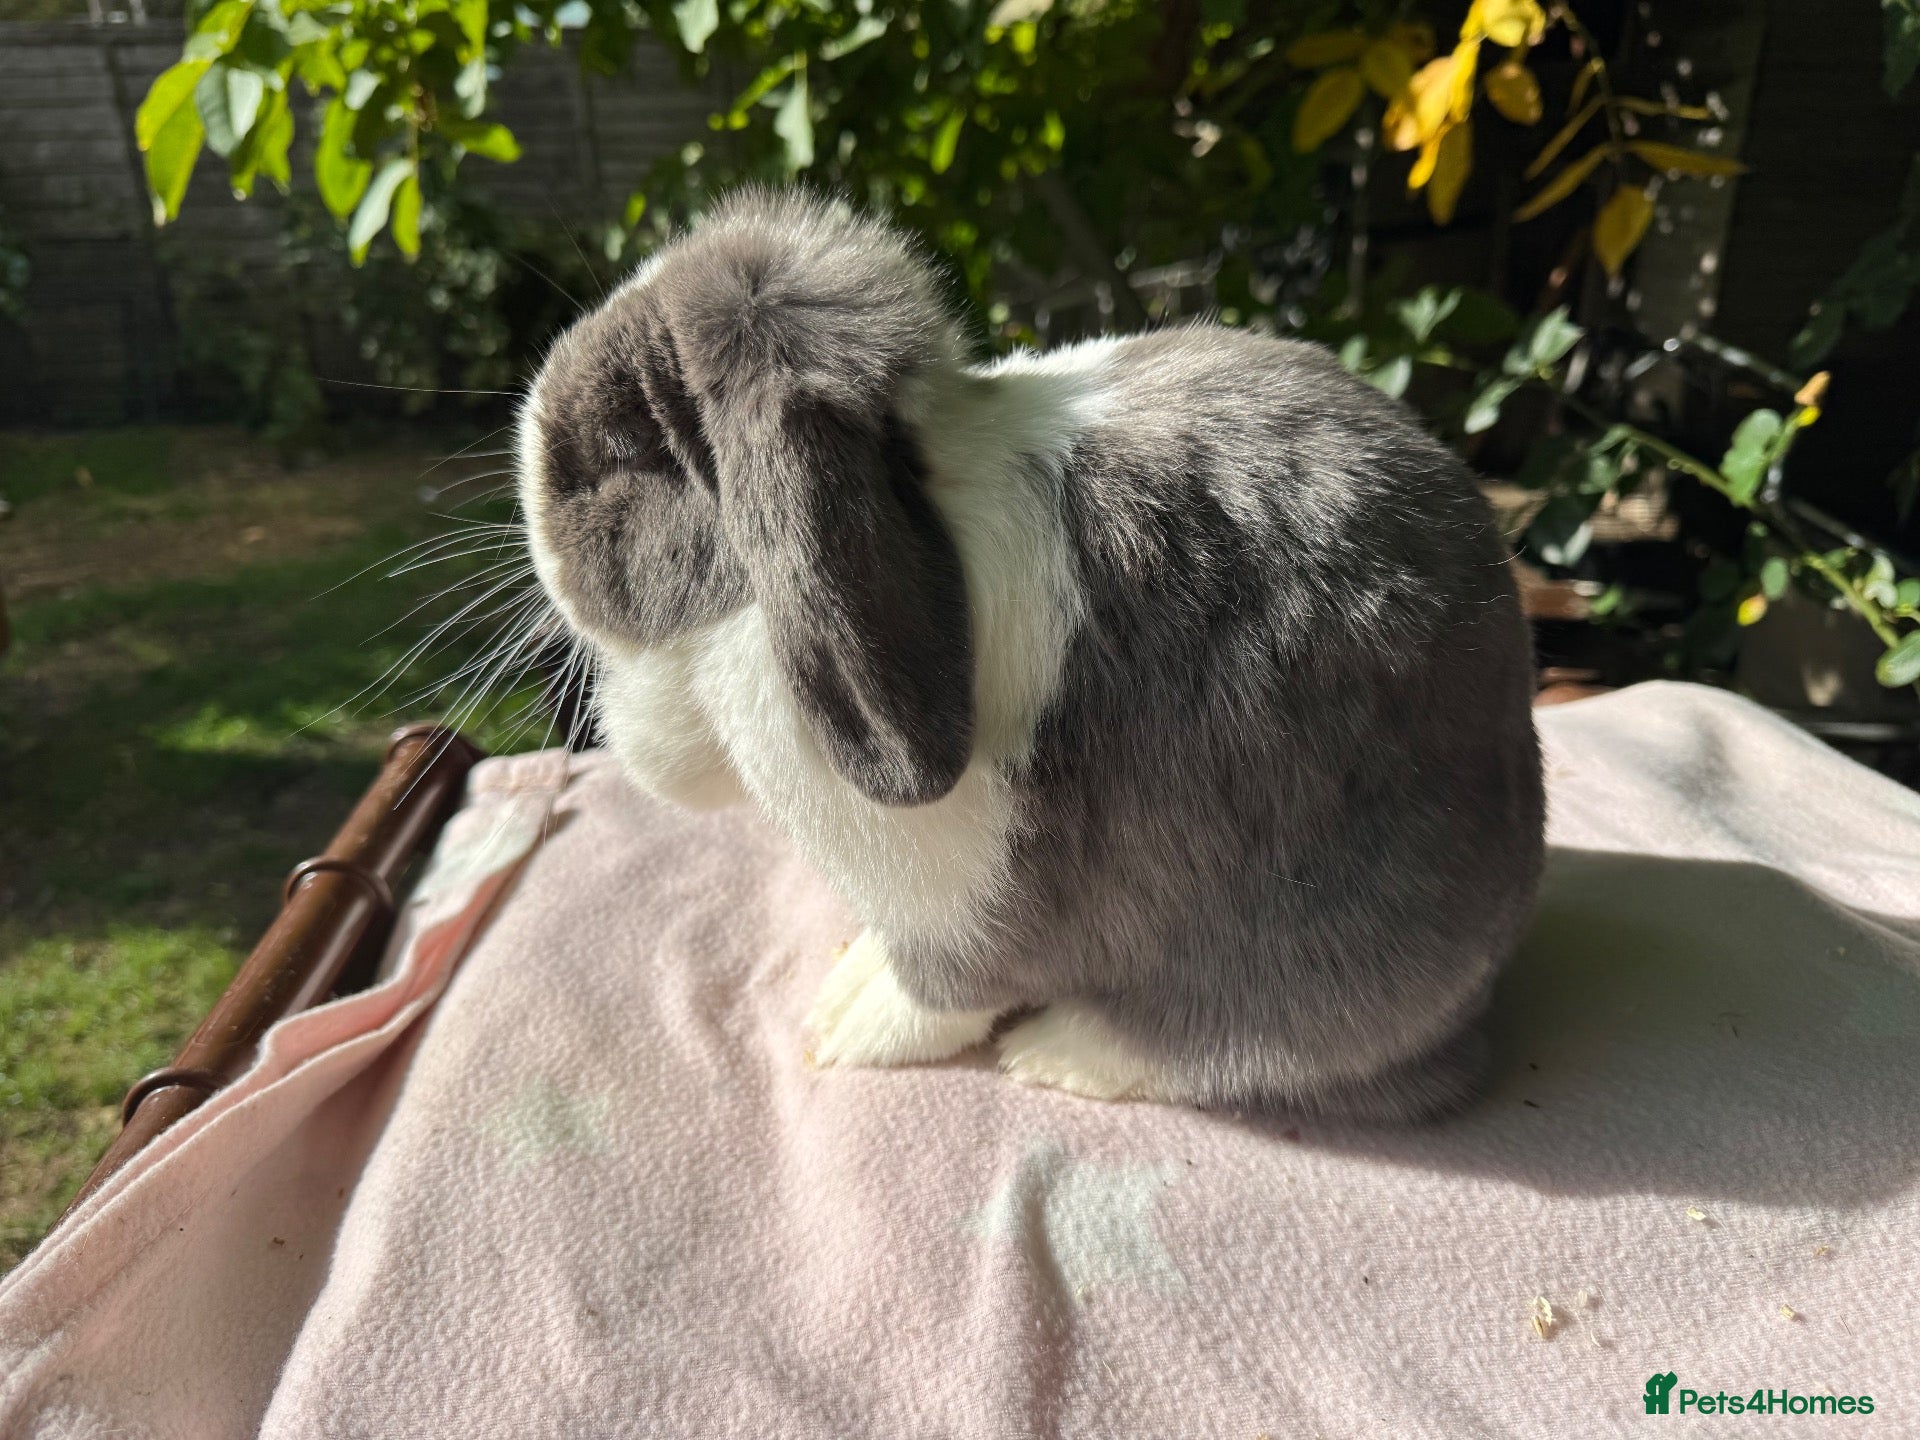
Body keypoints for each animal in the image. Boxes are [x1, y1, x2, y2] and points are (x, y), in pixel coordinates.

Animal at [516, 188, 1545, 1122]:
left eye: (621, 450)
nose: (520, 487)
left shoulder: (962, 902)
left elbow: (940, 992)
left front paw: (844, 1028)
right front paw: (848, 976)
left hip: (1314, 962)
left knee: (1245, 1047)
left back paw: (1061, 1053)